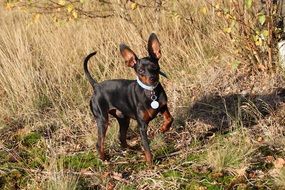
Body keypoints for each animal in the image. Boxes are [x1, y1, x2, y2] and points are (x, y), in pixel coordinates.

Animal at [83, 33, 172, 164]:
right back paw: (105, 160)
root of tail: (96, 86)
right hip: (102, 120)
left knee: (121, 138)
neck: (150, 92)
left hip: (123, 119)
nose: (152, 78)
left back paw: (133, 149)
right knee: (99, 143)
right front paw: (150, 164)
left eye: (155, 66)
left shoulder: (163, 106)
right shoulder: (142, 126)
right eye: (140, 71)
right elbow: (147, 147)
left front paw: (164, 128)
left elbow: (170, 118)